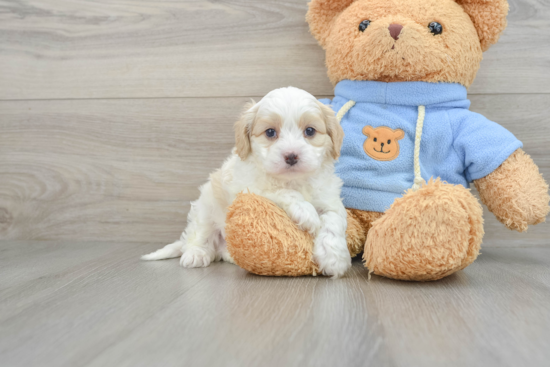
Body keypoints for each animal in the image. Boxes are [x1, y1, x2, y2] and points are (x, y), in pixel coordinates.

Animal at [141, 87, 350, 278]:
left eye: (310, 131)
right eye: (270, 132)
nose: (291, 156)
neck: (293, 180)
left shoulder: (329, 198)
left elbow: (334, 220)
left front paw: (334, 258)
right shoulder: (250, 187)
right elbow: (282, 192)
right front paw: (306, 212)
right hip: (205, 208)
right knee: (199, 235)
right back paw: (195, 254)